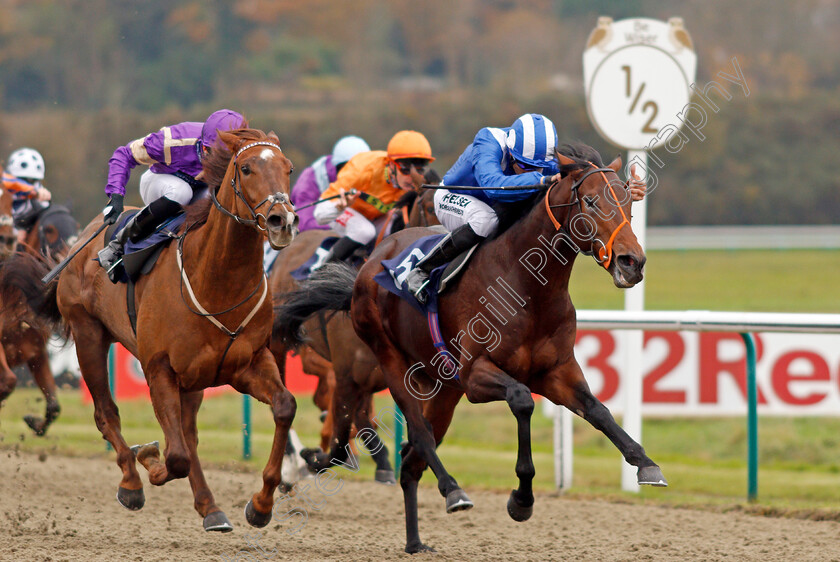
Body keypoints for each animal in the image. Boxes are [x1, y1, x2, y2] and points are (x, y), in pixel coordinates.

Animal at [0, 188, 79, 434]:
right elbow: (8, 381)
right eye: (50, 229)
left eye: (76, 227)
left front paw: (33, 422)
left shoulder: (35, 349)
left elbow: (54, 405)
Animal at [278, 143, 668, 552]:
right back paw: (452, 490)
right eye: (591, 201)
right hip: (389, 364)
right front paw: (521, 499)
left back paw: (414, 541)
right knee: (413, 435)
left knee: (408, 459)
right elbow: (522, 400)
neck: (528, 286)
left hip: (442, 391)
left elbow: (599, 411)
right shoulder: (475, 375)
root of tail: (369, 264)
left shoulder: (556, 372)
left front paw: (645, 463)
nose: (632, 261)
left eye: (628, 200)